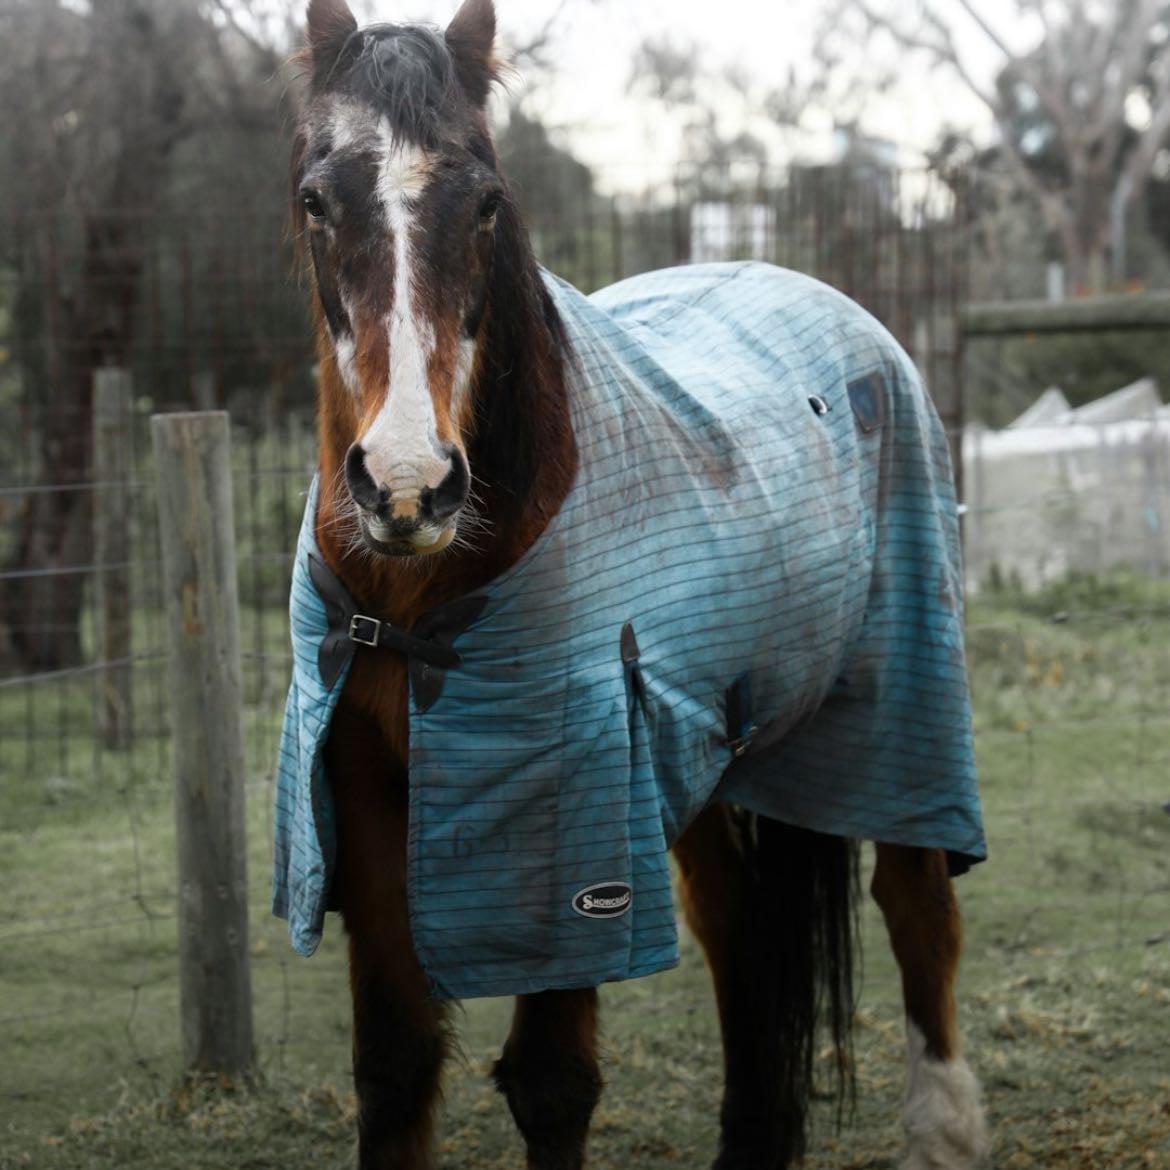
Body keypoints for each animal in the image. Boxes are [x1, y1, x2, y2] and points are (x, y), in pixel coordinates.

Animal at [273, 2, 989, 1168]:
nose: (409, 483)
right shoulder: (370, 804)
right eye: (315, 200)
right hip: (715, 760)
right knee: (745, 943)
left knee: (917, 905)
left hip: (897, 710)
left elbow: (552, 1082)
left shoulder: (574, 820)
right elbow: (395, 1071)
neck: (418, 604)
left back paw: (942, 1130)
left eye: (486, 200)